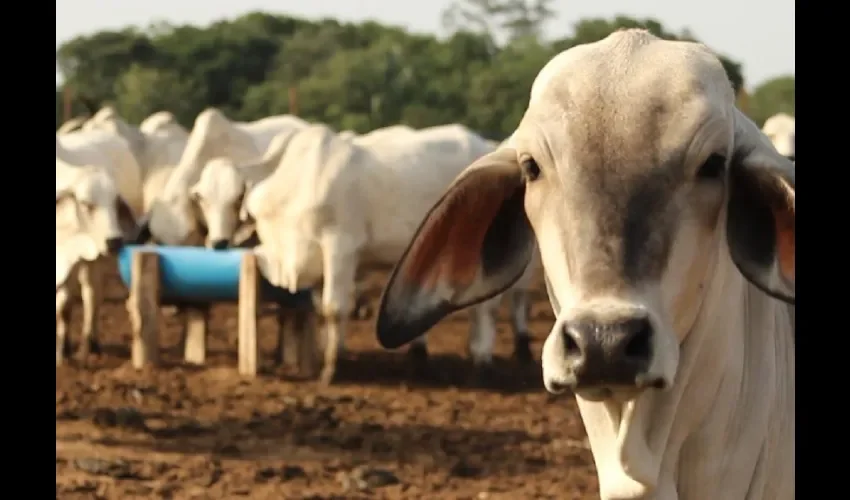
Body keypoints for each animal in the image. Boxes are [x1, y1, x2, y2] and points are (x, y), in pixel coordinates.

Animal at [242, 124, 540, 382]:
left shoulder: (340, 246)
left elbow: (333, 309)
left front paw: (331, 369)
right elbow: (319, 309)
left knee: (488, 308)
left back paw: (482, 360)